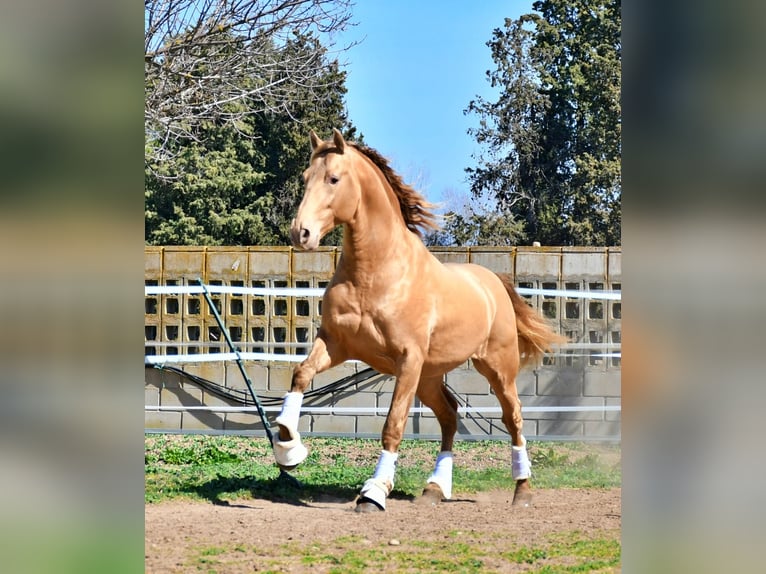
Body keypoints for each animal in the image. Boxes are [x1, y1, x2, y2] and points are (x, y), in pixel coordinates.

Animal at [272, 129, 568, 512]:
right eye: (306, 178)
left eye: (333, 179)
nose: (301, 233)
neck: (374, 273)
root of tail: (494, 282)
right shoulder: (337, 345)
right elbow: (301, 375)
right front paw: (289, 450)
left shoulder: (407, 361)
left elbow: (394, 425)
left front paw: (373, 493)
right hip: (429, 377)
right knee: (450, 415)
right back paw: (434, 488)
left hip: (497, 368)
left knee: (513, 417)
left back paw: (522, 491)